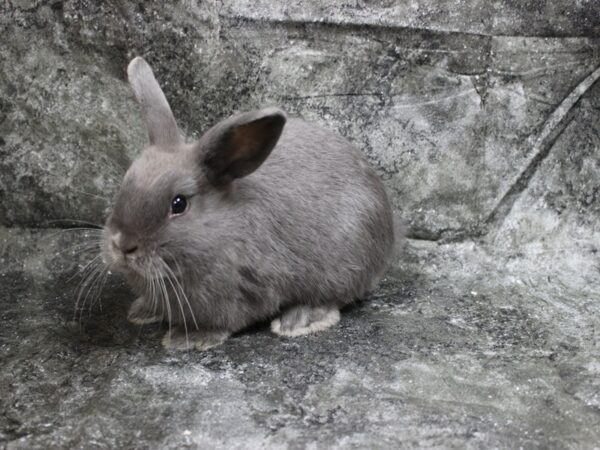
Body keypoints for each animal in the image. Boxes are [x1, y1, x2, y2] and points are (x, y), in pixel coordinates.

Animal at [101, 57, 396, 352]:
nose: (122, 245)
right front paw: (142, 311)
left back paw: (297, 321)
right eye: (126, 181)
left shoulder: (246, 289)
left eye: (179, 204)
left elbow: (227, 320)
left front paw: (189, 338)